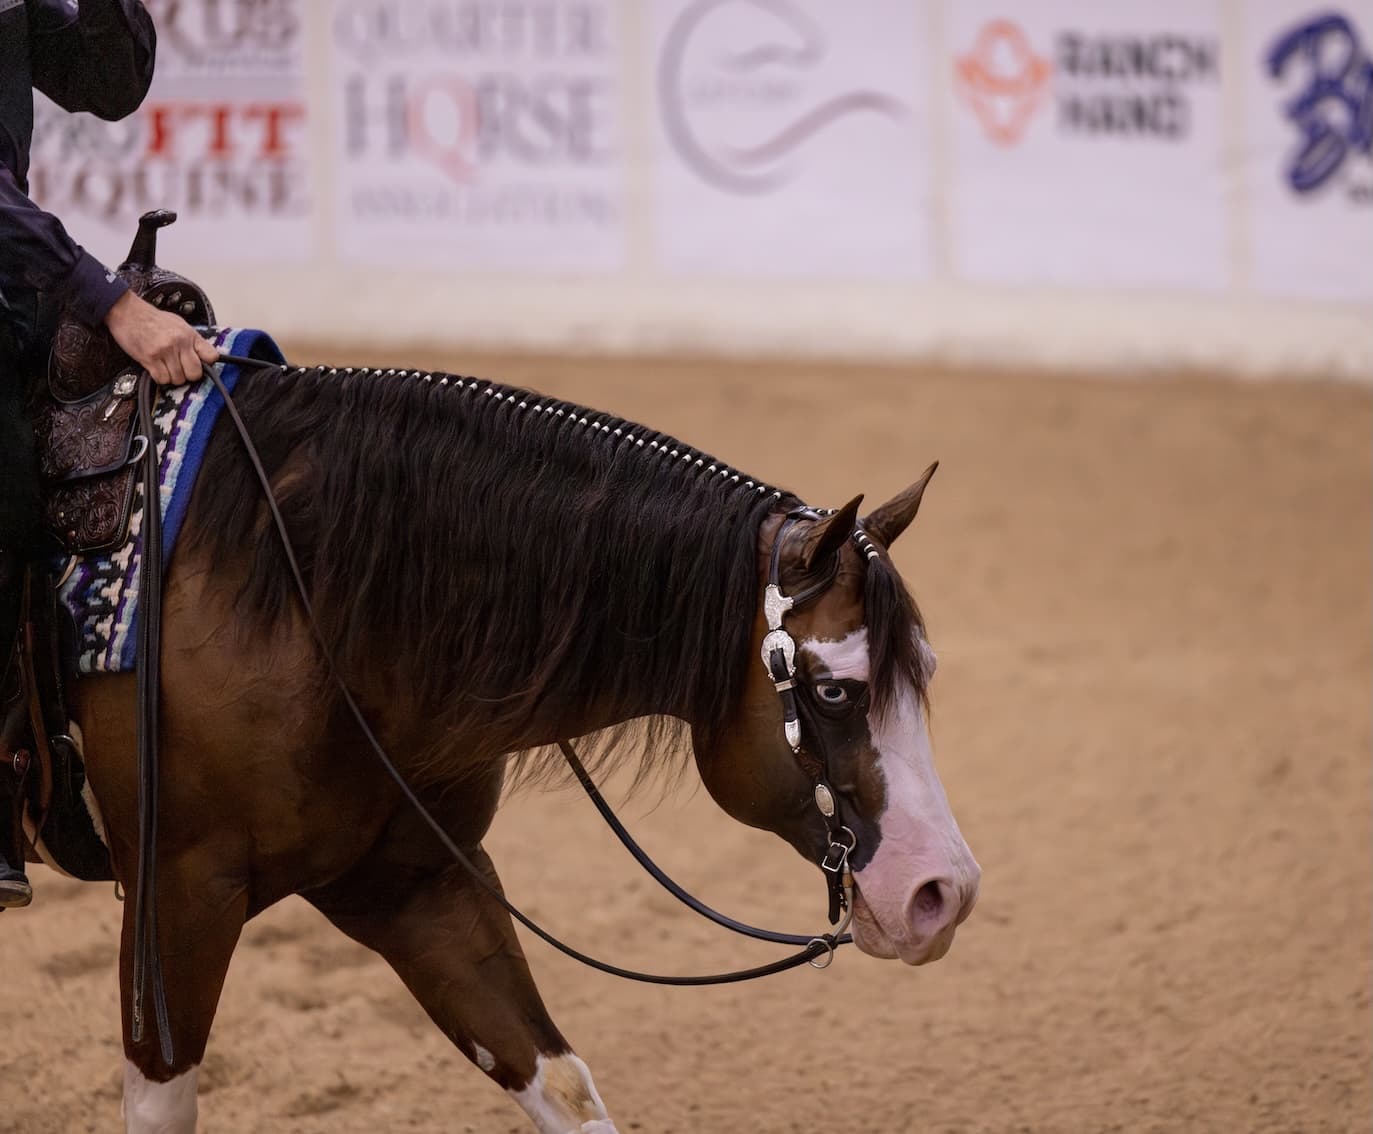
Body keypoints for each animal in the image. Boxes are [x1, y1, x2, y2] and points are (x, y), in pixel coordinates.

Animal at [55, 357, 980, 1133]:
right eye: (833, 692)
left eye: (924, 673)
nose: (944, 893)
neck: (296, 604)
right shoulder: (178, 896)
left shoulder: (416, 884)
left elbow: (562, 1084)